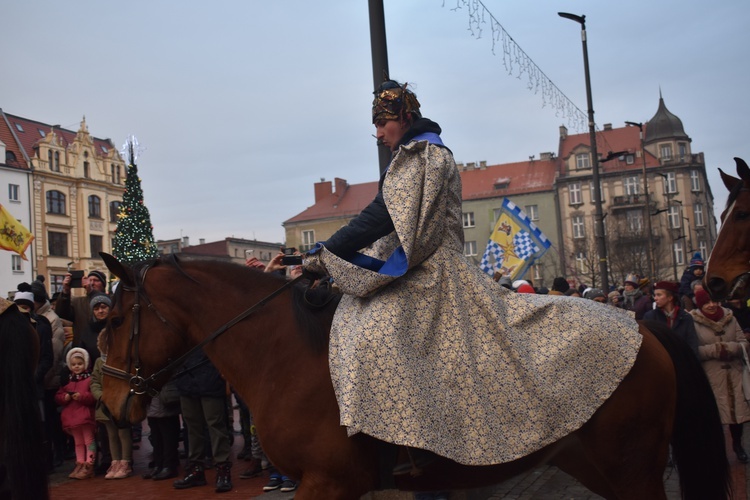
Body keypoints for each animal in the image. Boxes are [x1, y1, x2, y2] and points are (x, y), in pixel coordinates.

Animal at [98, 254, 728, 500]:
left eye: (112, 322)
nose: (109, 405)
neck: (284, 352)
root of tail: (644, 327)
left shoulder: (327, 482)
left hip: (632, 467)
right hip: (597, 464)